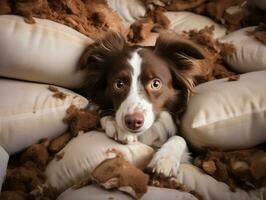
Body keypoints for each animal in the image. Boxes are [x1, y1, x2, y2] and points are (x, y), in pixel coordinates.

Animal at [80, 31, 209, 178]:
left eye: (156, 83)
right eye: (119, 84)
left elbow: (179, 138)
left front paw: (165, 159)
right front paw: (117, 125)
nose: (133, 122)